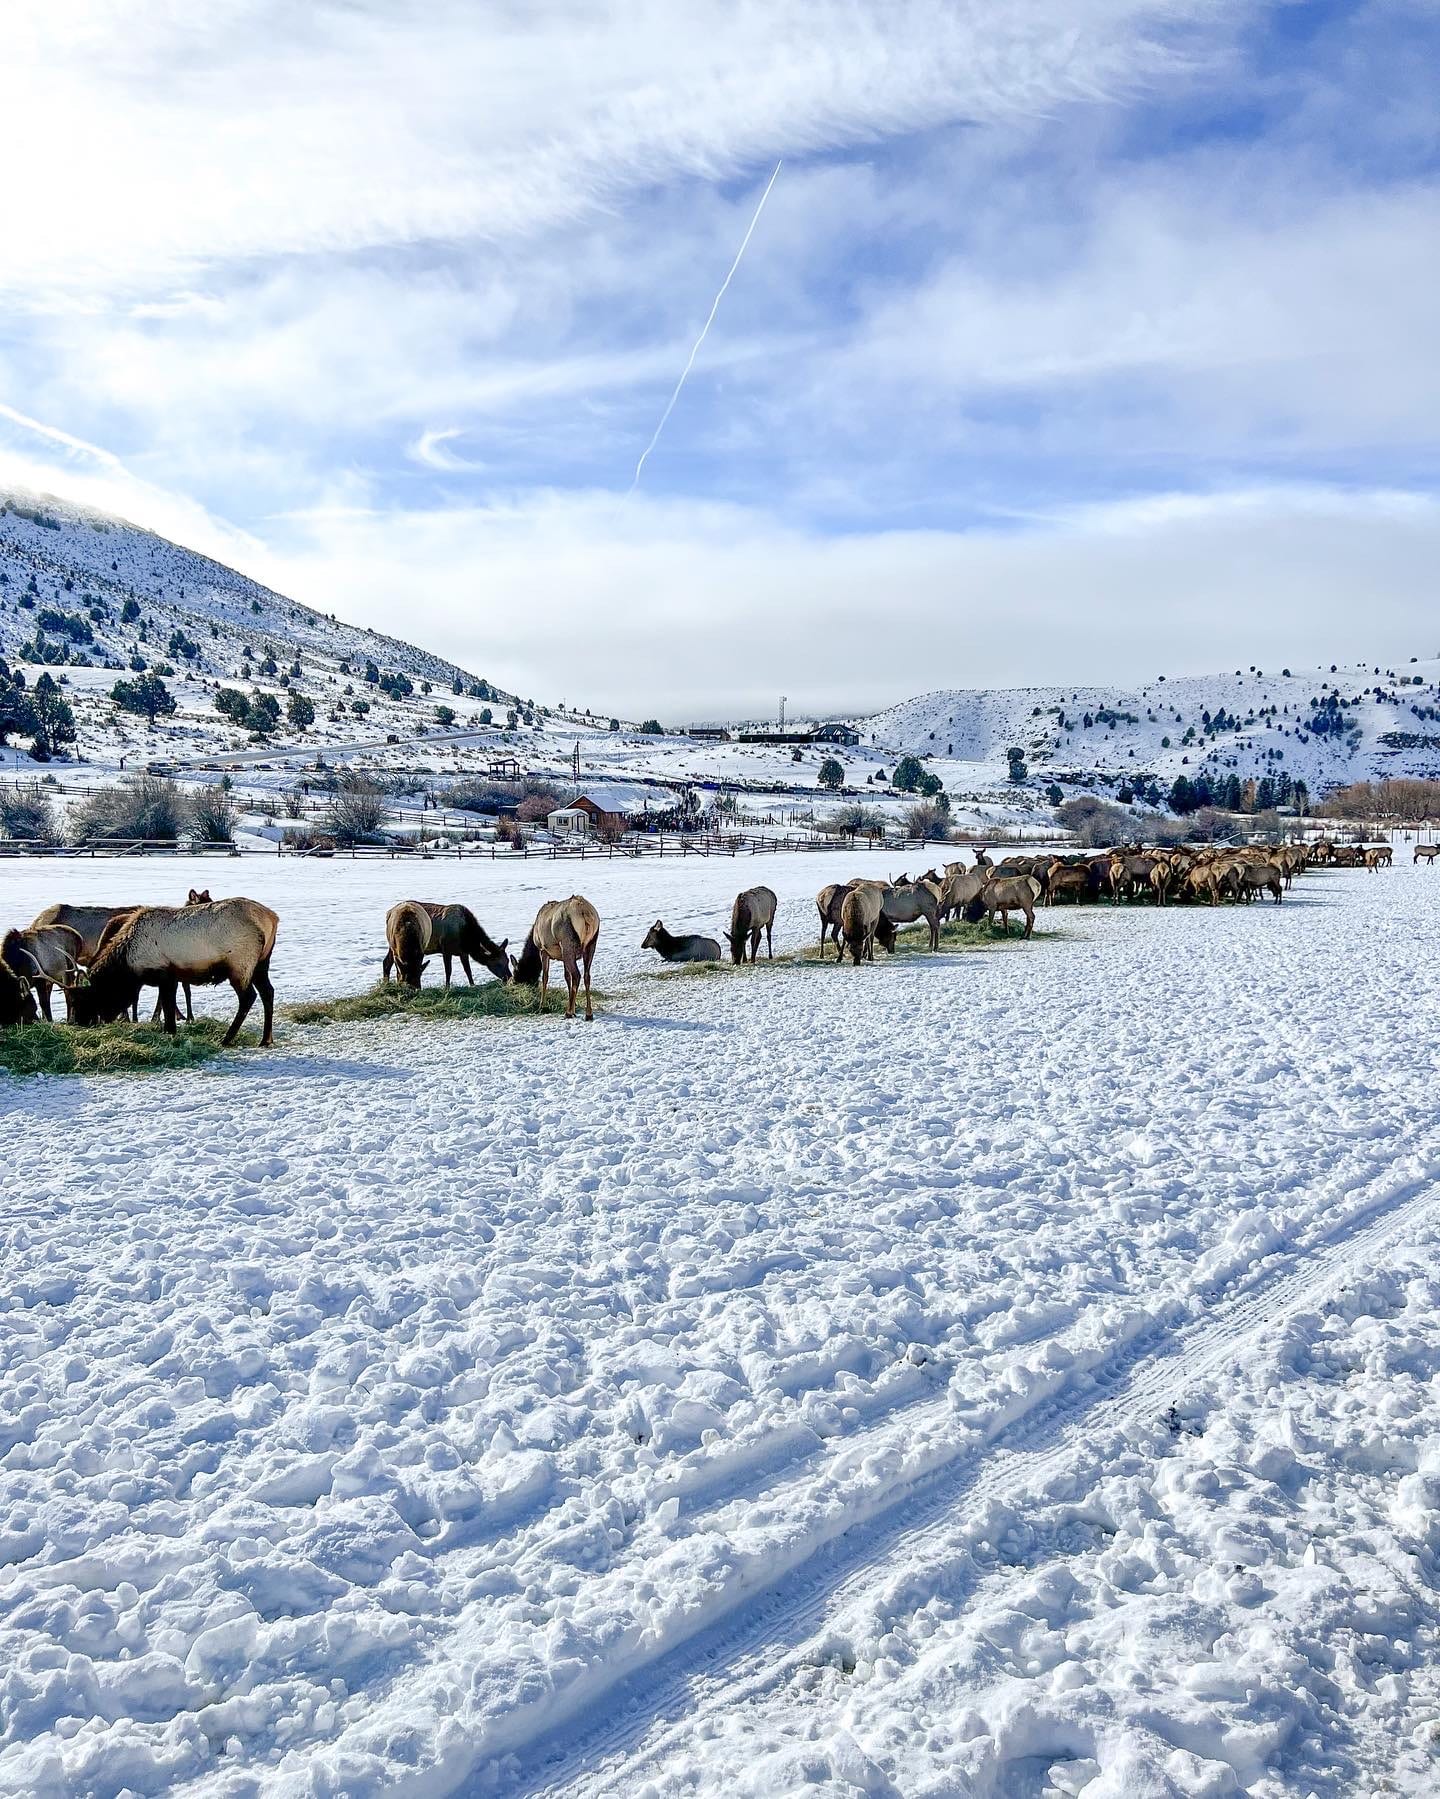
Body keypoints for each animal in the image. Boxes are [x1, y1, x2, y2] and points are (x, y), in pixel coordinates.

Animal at [72, 895, 280, 1050]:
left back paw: (226, 1039)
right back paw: (265, 1039)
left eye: (87, 998)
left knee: (248, 997)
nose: (81, 1023)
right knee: (268, 992)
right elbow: (167, 1006)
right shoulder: (170, 978)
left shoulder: (165, 975)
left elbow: (168, 1007)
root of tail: (272, 918)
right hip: (261, 963)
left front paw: (170, 1031)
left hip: (240, 964)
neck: (129, 964)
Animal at [514, 892, 597, 1021]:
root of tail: (584, 912)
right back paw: (588, 1013)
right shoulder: (562, 956)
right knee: (586, 975)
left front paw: (542, 1006)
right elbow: (567, 977)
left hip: (567, 944)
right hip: (591, 944)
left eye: (518, 976)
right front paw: (573, 1007)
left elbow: (545, 977)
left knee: (577, 975)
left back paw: (568, 1013)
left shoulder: (543, 950)